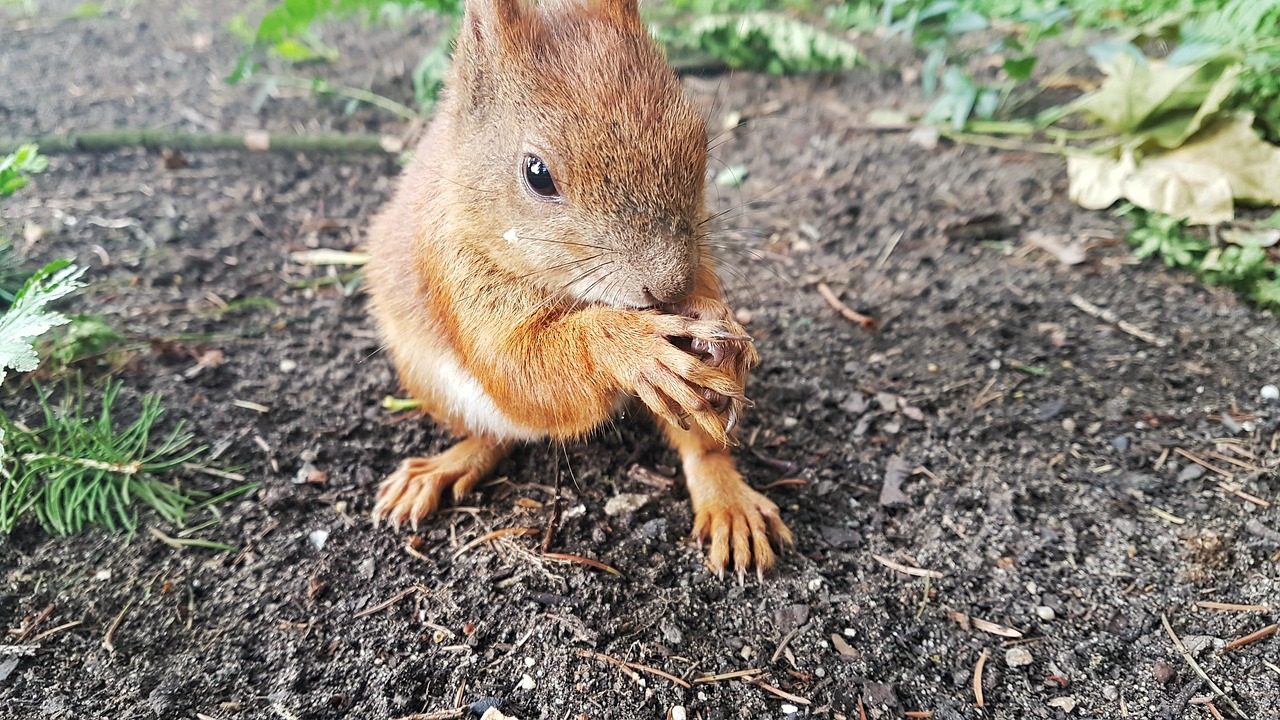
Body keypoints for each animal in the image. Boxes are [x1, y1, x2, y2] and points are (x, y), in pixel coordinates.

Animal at [360, 0, 788, 573]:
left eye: (696, 136)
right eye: (537, 173)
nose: (667, 287)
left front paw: (717, 320)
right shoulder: (453, 271)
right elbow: (518, 366)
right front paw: (630, 347)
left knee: (701, 444)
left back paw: (729, 500)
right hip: (431, 385)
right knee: (496, 436)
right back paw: (444, 466)